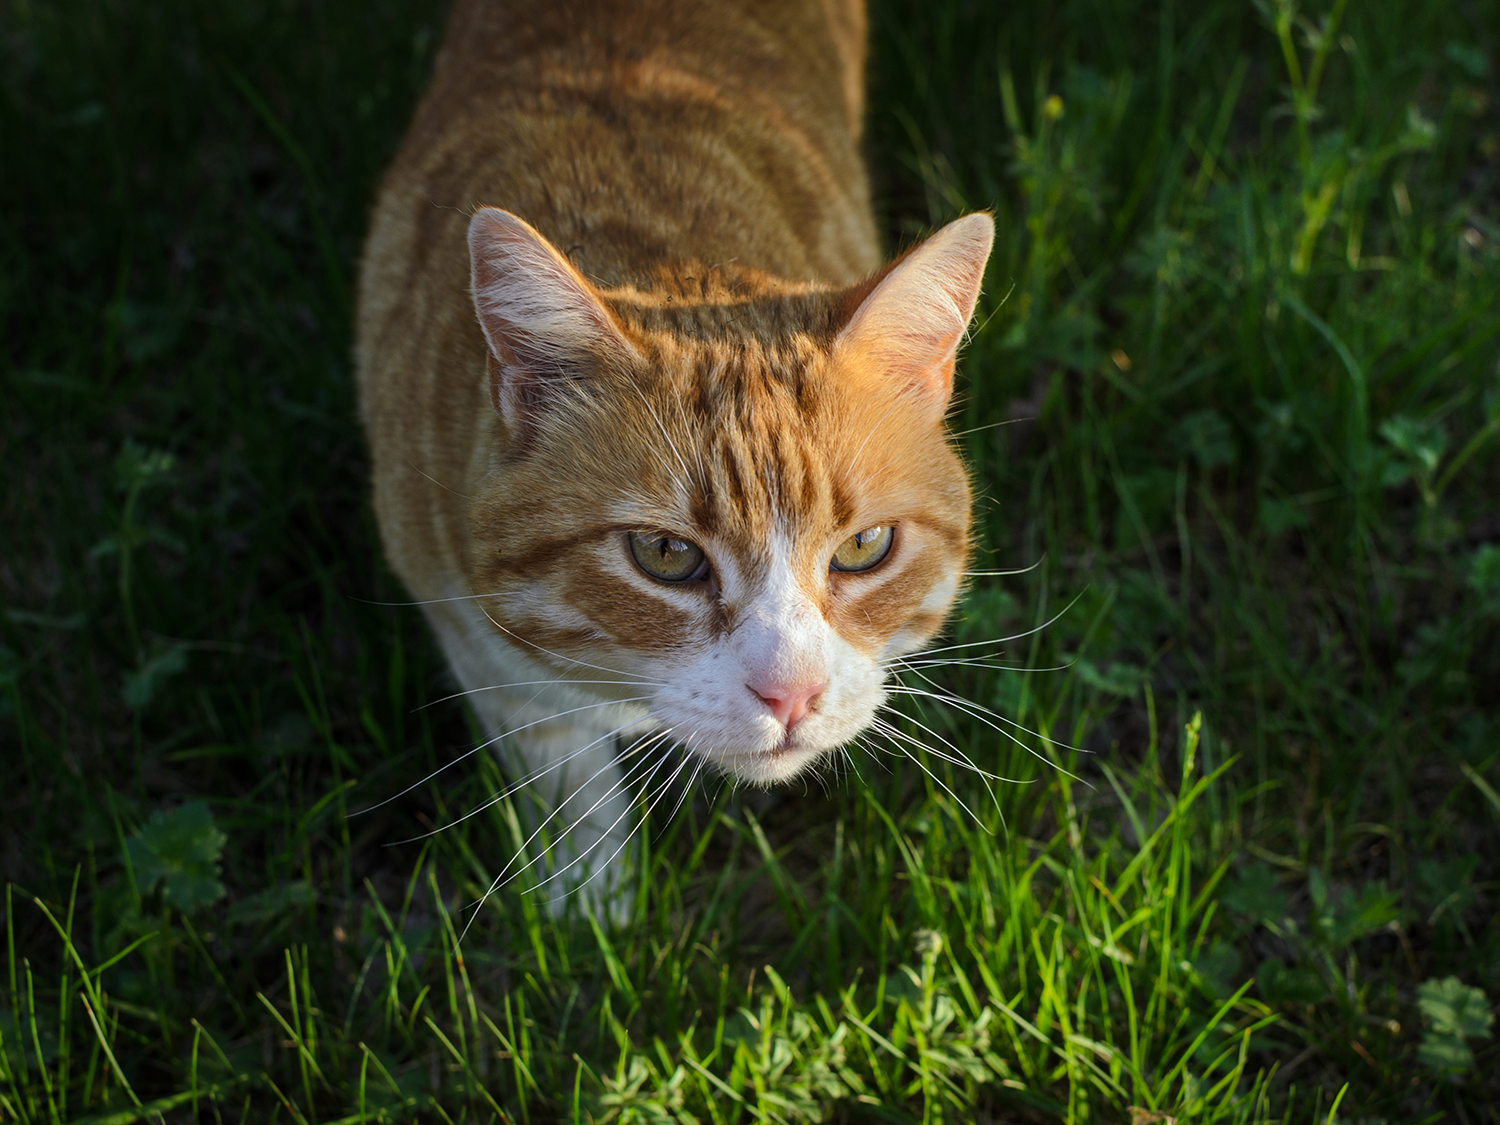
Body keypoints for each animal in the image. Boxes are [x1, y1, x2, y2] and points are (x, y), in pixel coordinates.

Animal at [354, 0, 996, 906]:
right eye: (663, 554)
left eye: (866, 546)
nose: (791, 693)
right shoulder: (474, 635)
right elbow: (566, 776)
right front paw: (591, 900)